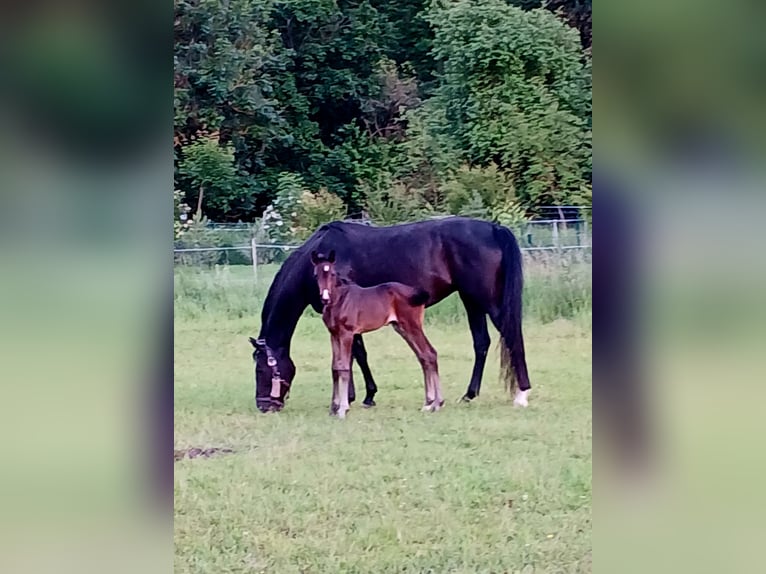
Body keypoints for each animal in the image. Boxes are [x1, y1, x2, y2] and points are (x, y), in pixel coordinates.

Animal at [310, 251, 444, 418]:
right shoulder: (333, 335)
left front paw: (342, 409)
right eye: (316, 275)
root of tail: (417, 292)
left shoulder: (347, 334)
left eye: (333, 273)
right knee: (423, 356)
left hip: (413, 326)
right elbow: (335, 368)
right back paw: (428, 403)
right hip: (402, 328)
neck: (340, 300)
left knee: (430, 353)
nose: (325, 298)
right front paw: (333, 407)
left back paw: (437, 403)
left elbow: (344, 367)